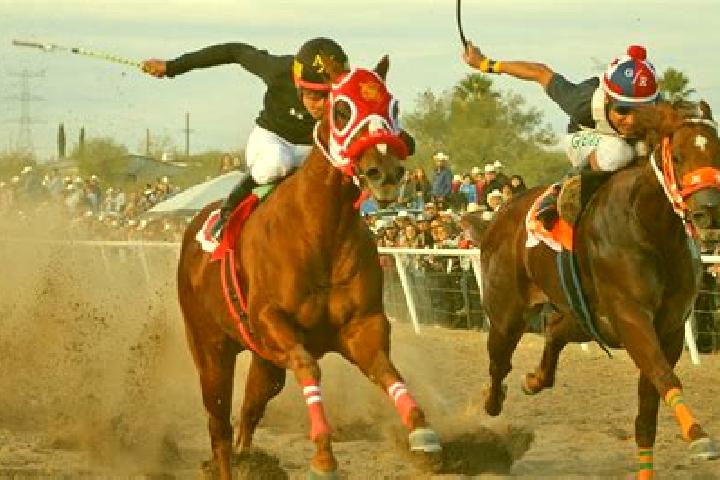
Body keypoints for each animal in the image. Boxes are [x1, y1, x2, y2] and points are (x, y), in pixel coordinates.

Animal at [177, 57, 441, 480]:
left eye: (393, 105)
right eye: (342, 110)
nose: (385, 171)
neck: (320, 232)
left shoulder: (362, 325)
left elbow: (387, 371)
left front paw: (423, 433)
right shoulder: (272, 321)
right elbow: (308, 367)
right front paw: (323, 457)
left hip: (264, 360)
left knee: (250, 410)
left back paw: (249, 458)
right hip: (210, 347)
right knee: (219, 425)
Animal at [464, 101, 720, 477]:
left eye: (718, 150)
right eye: (679, 155)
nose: (710, 211)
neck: (649, 227)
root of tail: (498, 216)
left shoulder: (669, 328)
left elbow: (649, 411)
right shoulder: (630, 317)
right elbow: (664, 375)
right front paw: (699, 436)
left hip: (587, 319)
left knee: (554, 331)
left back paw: (535, 380)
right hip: (506, 314)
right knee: (499, 362)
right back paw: (491, 404)